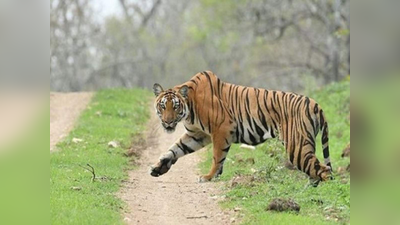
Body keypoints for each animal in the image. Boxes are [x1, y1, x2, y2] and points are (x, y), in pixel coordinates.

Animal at [148, 71, 332, 186]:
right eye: (163, 106)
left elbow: (217, 156)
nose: (168, 122)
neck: (189, 107)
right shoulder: (197, 135)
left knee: (324, 170)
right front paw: (158, 167)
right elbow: (175, 149)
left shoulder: (221, 128)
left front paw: (209, 176)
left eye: (175, 106)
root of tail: (316, 105)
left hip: (297, 146)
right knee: (319, 171)